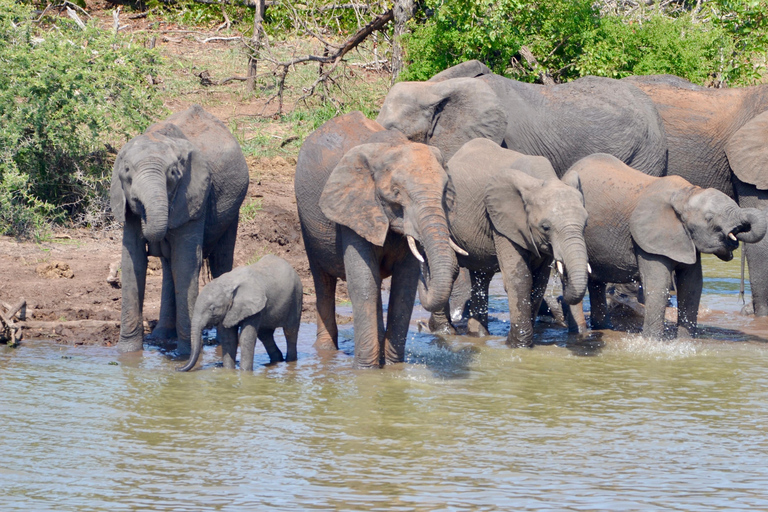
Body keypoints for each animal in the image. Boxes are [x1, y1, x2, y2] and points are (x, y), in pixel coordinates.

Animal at [109, 104, 248, 352]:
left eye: (173, 174)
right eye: (126, 170)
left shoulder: (194, 197)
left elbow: (185, 263)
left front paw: (186, 354)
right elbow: (133, 262)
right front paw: (127, 353)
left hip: (233, 209)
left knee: (220, 259)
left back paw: (221, 341)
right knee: (168, 266)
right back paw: (161, 336)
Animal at [294, 112, 462, 368]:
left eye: (445, 193)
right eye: (396, 194)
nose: (427, 270)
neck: (391, 147)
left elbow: (404, 286)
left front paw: (393, 368)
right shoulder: (353, 209)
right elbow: (363, 284)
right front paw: (367, 371)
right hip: (308, 226)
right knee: (323, 281)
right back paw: (325, 352)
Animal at [432, 138, 588, 346]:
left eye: (585, 224)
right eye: (545, 227)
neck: (542, 180)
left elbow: (539, 282)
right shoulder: (502, 221)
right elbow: (520, 278)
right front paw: (516, 345)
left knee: (481, 276)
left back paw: (478, 335)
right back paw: (443, 331)